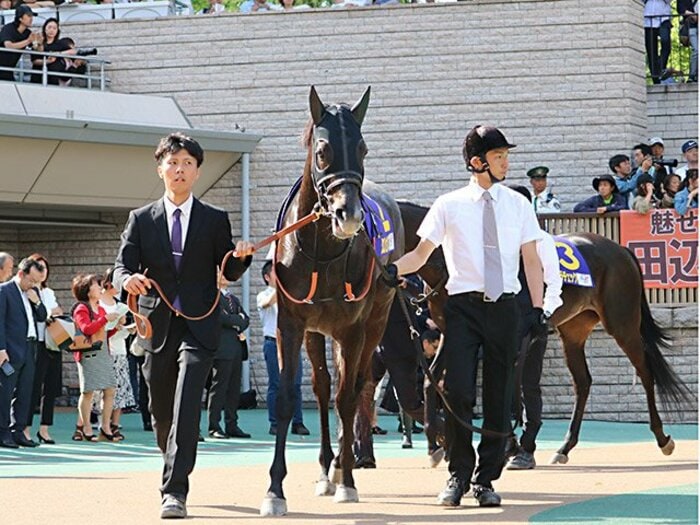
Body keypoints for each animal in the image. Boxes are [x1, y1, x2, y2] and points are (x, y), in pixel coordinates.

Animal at [260, 86, 405, 516]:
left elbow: (348, 397)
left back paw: (343, 464)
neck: (321, 252)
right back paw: (328, 468)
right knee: (324, 387)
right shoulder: (291, 324)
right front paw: (275, 490)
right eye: (323, 151)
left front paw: (349, 481)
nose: (349, 215)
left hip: (373, 324)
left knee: (353, 388)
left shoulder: (353, 329)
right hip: (317, 330)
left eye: (362, 148)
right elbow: (291, 397)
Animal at [364, 200, 690, 465]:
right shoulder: (452, 333)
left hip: (622, 322)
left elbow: (509, 392)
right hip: (574, 329)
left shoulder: (511, 338)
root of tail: (621, 249)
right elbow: (433, 382)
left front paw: (510, 446)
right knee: (583, 382)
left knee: (645, 370)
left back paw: (663, 438)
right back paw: (564, 447)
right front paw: (436, 446)